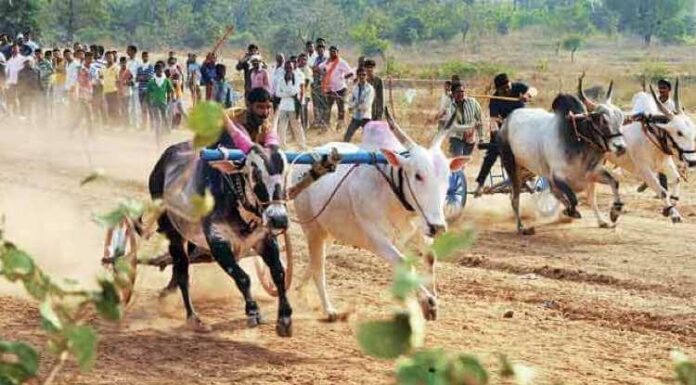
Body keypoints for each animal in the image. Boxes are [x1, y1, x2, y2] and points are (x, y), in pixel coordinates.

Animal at [290, 109, 464, 320]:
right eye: (418, 175)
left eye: (447, 177)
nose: (437, 227)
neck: (392, 192)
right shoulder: (377, 241)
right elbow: (404, 263)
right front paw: (427, 302)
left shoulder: (420, 229)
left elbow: (430, 258)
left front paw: (431, 297)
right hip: (312, 228)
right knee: (318, 267)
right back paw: (328, 309)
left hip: (328, 231)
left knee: (315, 261)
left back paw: (300, 291)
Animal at [604, 79, 696, 222]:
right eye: (679, 133)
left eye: (693, 131)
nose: (692, 162)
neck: (654, 137)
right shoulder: (644, 170)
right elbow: (662, 191)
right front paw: (673, 214)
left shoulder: (665, 164)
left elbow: (676, 180)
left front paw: (669, 209)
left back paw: (614, 210)